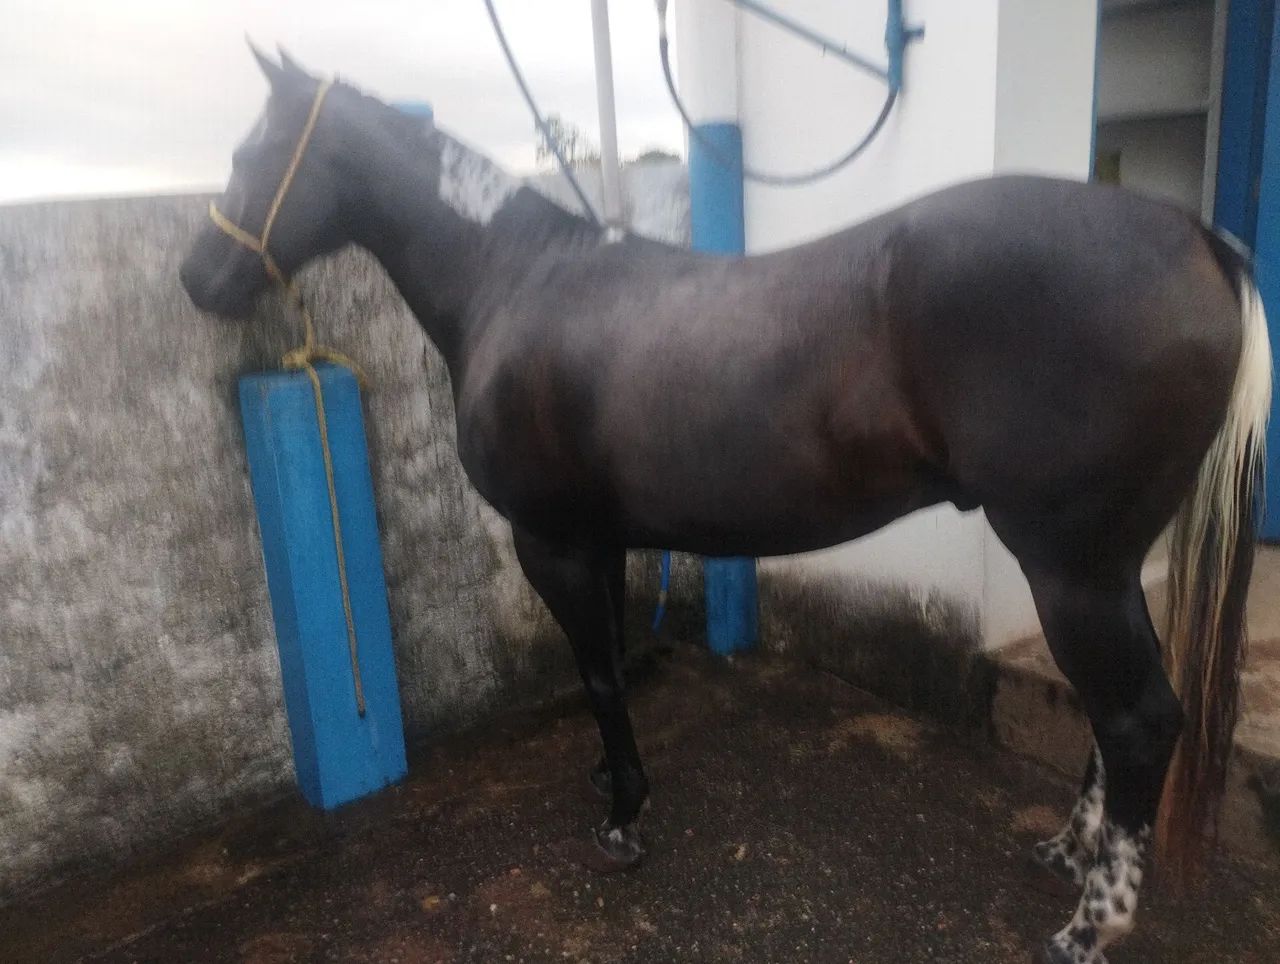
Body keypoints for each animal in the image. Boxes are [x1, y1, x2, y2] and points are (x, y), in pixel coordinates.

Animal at [179, 51, 1271, 964]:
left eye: (251, 151)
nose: (195, 277)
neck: (519, 281)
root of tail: (1192, 237)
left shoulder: (552, 541)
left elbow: (599, 675)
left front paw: (623, 817)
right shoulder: (601, 540)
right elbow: (613, 663)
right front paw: (607, 781)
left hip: (1069, 565)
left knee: (1137, 717)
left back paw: (1089, 926)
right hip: (1106, 563)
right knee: (1121, 709)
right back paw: (1068, 852)